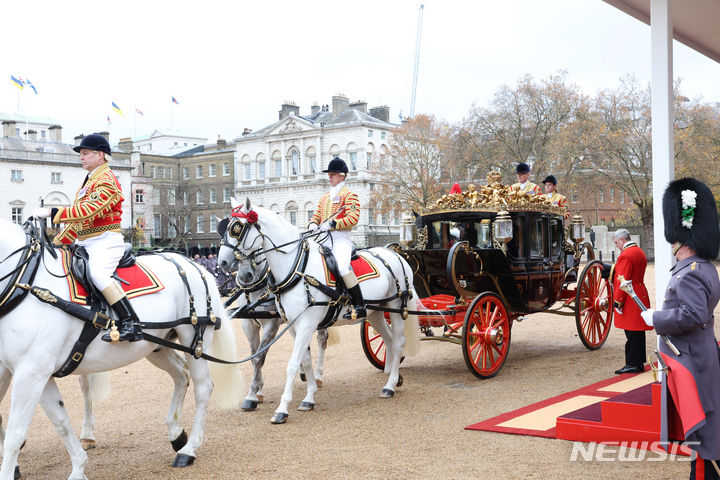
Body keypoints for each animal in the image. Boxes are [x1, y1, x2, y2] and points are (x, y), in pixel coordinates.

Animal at [0, 219, 243, 478]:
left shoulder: (32, 372)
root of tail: (192, 265)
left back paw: (189, 450)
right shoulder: (28, 372)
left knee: (203, 388)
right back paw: (176, 433)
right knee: (181, 375)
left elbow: (16, 433)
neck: (25, 283)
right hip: (156, 346)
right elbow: (60, 422)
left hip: (193, 341)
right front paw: (78, 467)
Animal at [217, 199, 420, 424]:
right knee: (389, 340)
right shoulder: (289, 324)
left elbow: (289, 363)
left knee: (398, 341)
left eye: (236, 228)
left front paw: (281, 408)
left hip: (395, 308)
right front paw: (308, 396)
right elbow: (301, 359)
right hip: (374, 312)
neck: (297, 269)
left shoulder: (298, 322)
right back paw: (392, 376)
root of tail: (395, 254)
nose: (223, 263)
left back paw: (390, 385)